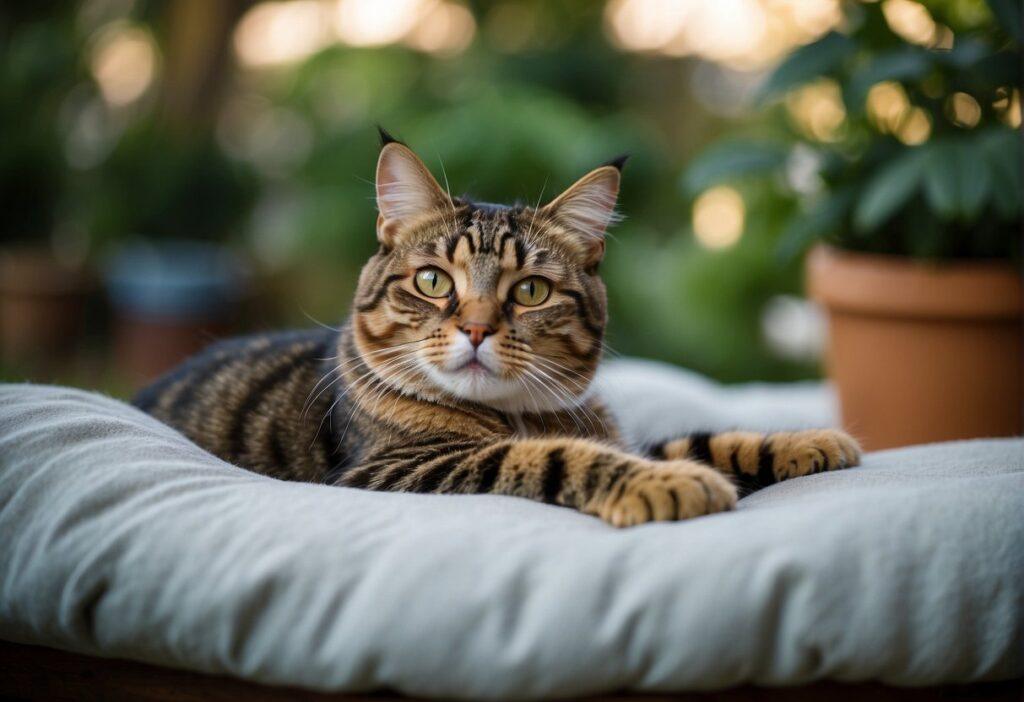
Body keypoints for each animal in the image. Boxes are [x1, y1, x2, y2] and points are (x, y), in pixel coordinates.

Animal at [132, 132, 860, 528]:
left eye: (530, 291)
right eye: (434, 282)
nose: (478, 329)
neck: (516, 413)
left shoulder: (623, 430)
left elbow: (699, 439)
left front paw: (810, 440)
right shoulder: (398, 468)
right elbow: (555, 457)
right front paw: (666, 485)